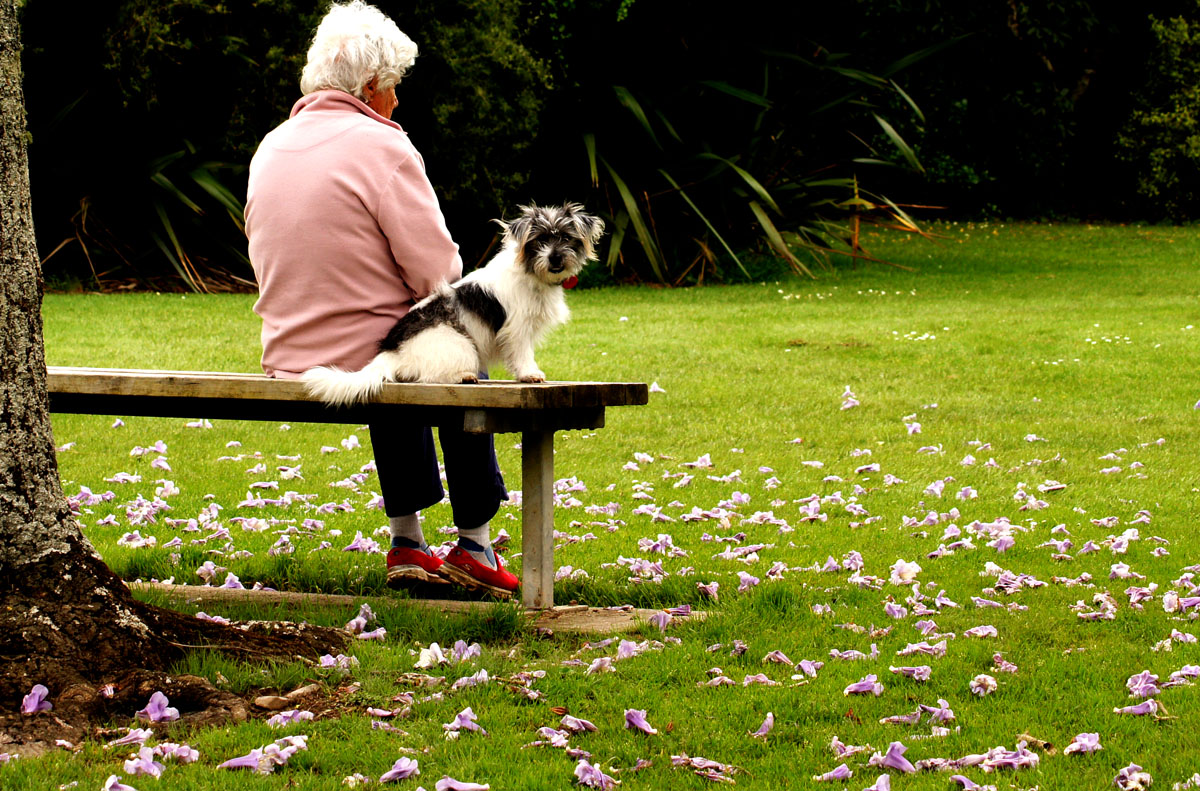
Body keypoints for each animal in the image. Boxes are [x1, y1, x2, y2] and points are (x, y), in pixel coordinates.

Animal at [300, 205, 600, 403]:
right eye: (540, 240)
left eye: (565, 237)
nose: (555, 259)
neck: (531, 274)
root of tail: (390, 352)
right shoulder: (517, 329)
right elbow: (523, 355)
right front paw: (530, 374)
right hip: (460, 345)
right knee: (428, 376)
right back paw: (462, 376)